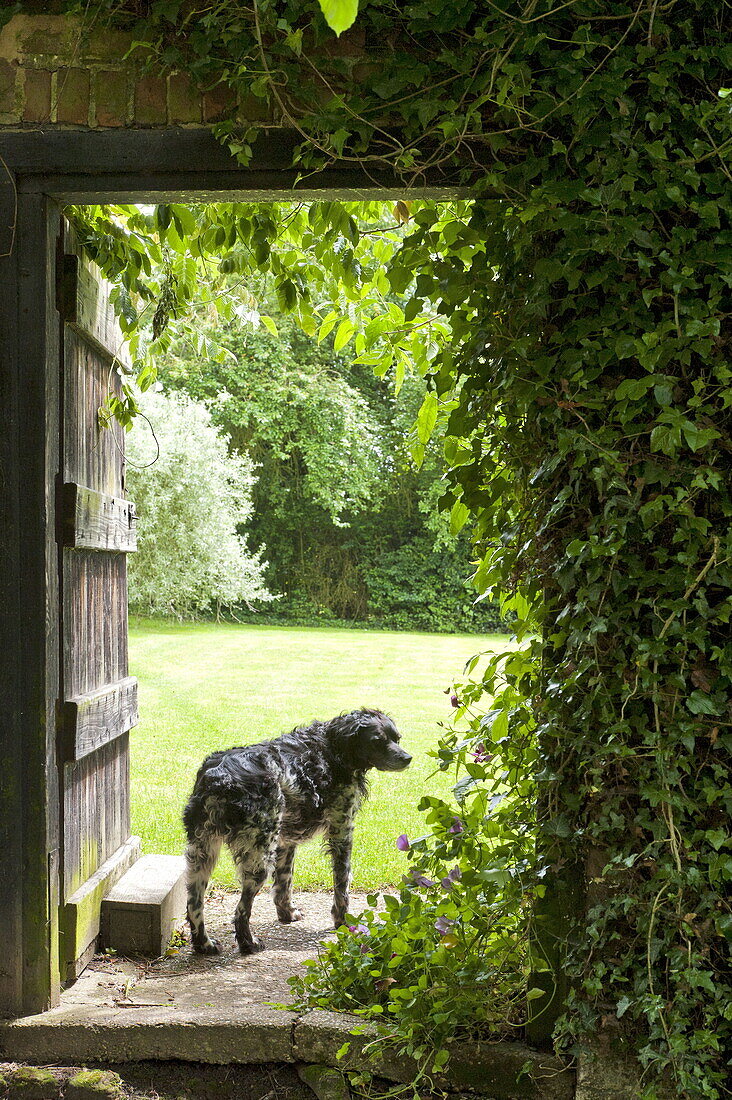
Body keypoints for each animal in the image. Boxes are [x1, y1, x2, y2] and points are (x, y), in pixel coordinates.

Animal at [182, 708, 411, 950]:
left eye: (397, 738)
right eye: (377, 741)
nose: (407, 758)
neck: (332, 748)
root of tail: (218, 775)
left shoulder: (286, 842)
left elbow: (284, 883)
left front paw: (287, 914)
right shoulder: (342, 830)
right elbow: (342, 883)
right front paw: (343, 921)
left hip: (201, 855)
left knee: (194, 905)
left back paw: (203, 944)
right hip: (258, 859)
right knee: (241, 910)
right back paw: (248, 943)